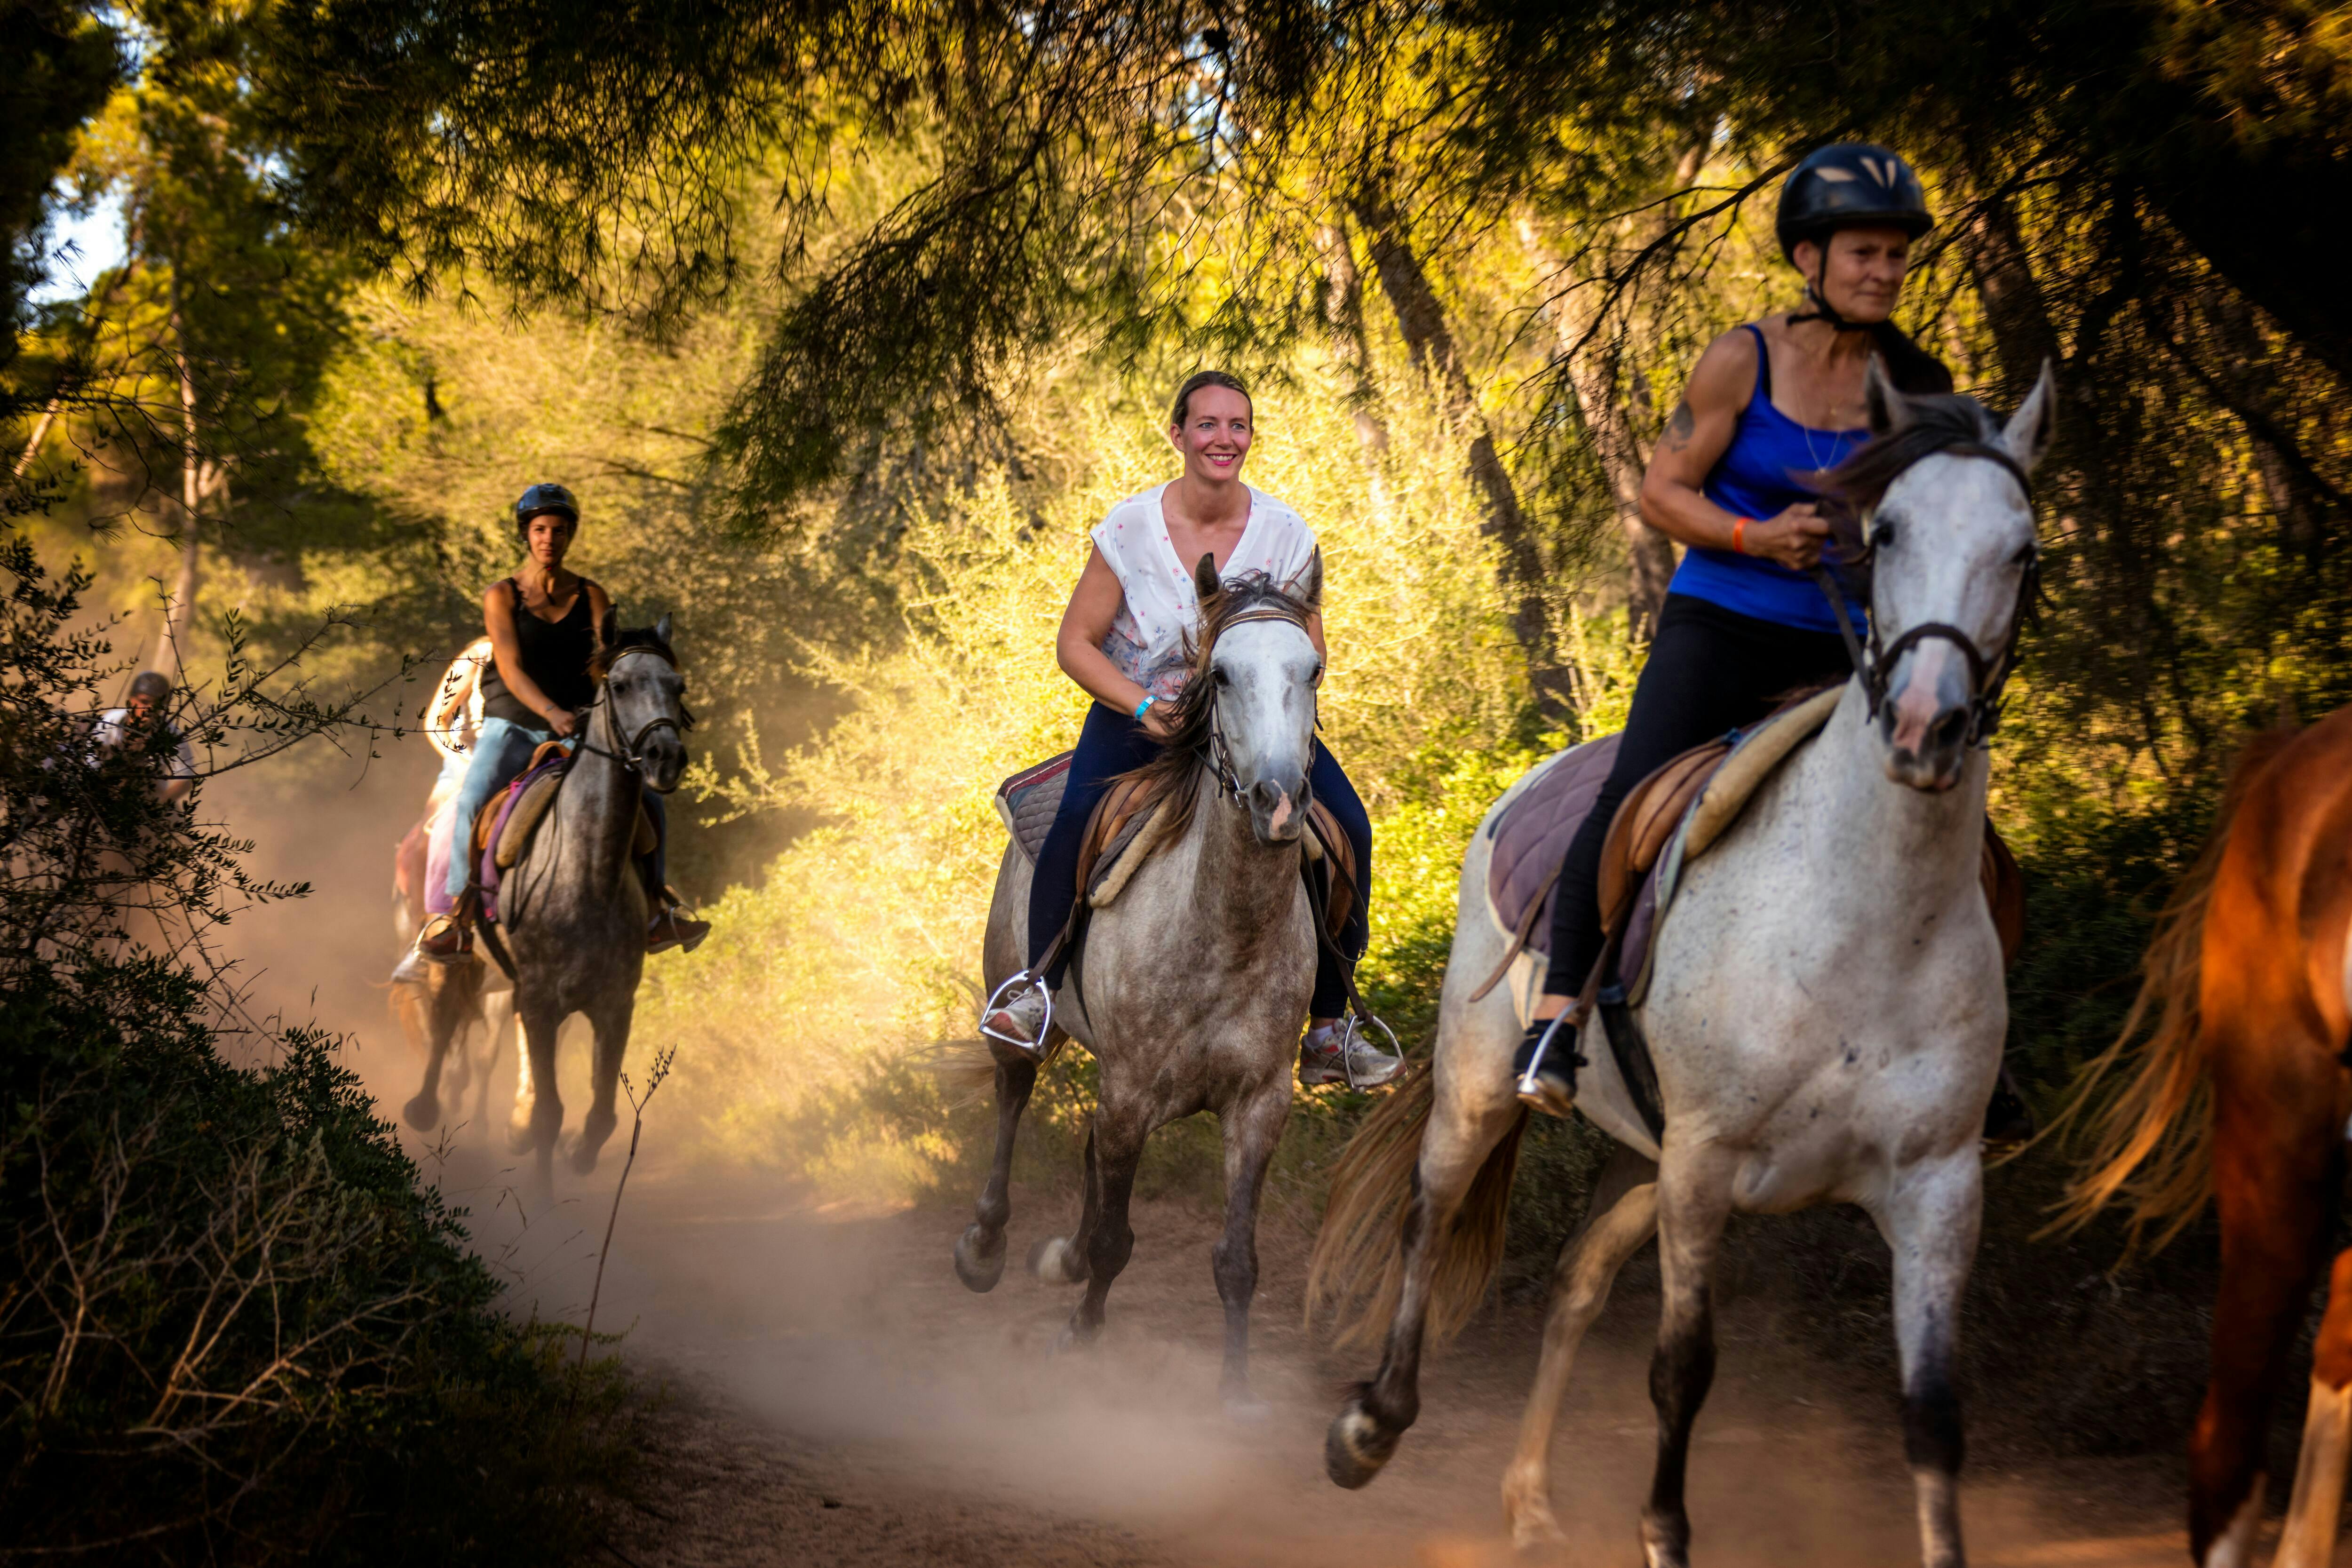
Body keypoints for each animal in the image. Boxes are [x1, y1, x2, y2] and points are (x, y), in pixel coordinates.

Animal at [400, 611, 682, 1189]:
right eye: (620, 686)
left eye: (678, 685)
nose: (666, 758)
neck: (584, 872)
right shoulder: (540, 1000)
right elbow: (552, 1112)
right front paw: (543, 1198)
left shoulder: (613, 1003)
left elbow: (601, 1113)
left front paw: (576, 1153)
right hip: (456, 960)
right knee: (444, 1022)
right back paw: (426, 1106)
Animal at [955, 566, 1327, 1420]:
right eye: (1220, 675)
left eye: (1313, 670)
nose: (1279, 800)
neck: (1225, 934)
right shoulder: (1129, 1095)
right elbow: (1117, 1239)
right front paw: (1079, 1330)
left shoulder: (1259, 1104)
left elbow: (1236, 1258)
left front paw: (1235, 1390)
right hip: (1020, 1017)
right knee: (1013, 1098)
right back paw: (985, 1249)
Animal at [1317, 362, 2051, 1561]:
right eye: (1885, 530)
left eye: (2023, 547)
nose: (1924, 726)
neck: (1863, 918)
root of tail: (1530, 782)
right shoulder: (1706, 1166)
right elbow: (1681, 1370)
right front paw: (1663, 1532)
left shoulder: (1939, 1187)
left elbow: (1935, 1414)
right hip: (1482, 1084)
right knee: (1430, 1214)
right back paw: (1369, 1427)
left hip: (1643, 1159)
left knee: (1575, 1281)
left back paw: (1527, 1498)